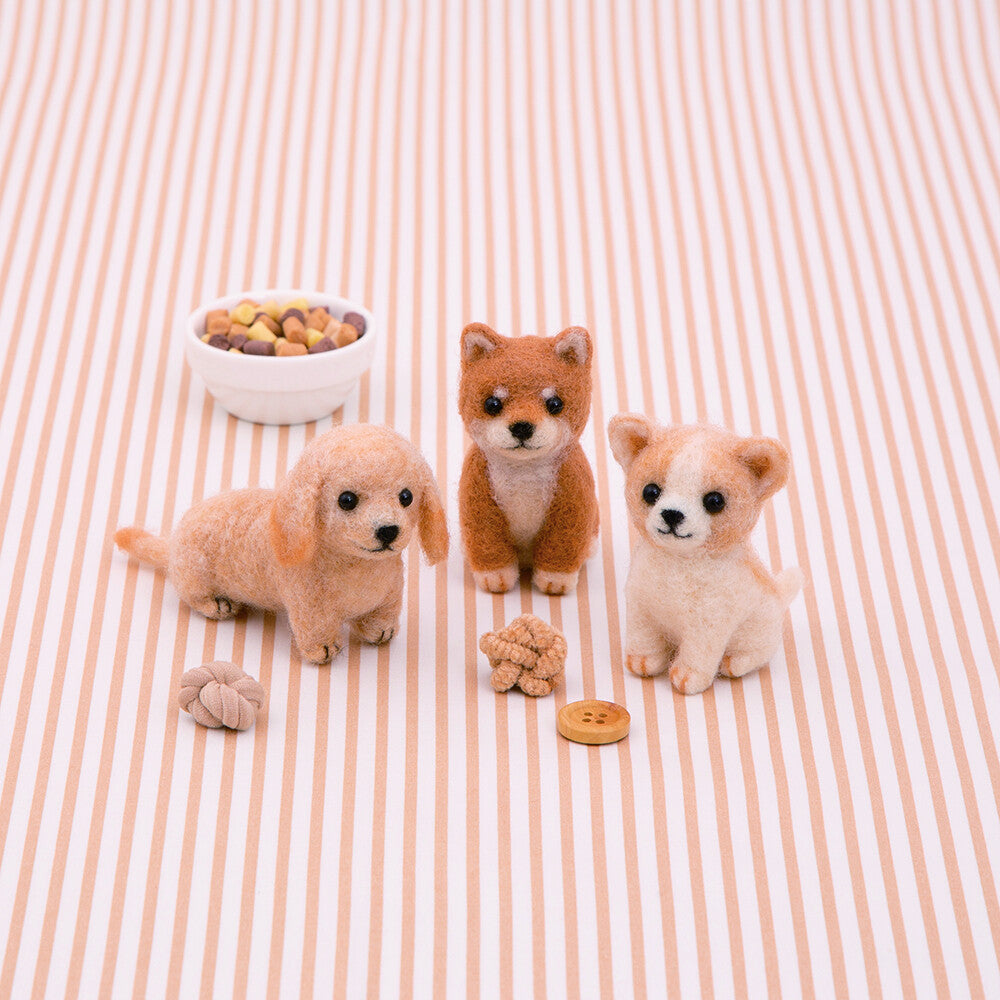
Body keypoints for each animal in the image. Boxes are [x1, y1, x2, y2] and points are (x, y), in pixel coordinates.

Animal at [113, 422, 450, 664]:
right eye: (346, 500)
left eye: (406, 497)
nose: (388, 530)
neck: (357, 567)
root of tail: (171, 546)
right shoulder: (309, 606)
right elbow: (315, 628)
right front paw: (323, 649)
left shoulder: (389, 595)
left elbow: (381, 617)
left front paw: (379, 631)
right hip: (194, 576)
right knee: (193, 596)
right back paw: (217, 604)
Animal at [458, 324, 596, 596]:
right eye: (492, 404)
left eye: (555, 403)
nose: (522, 427)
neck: (523, 470)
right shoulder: (478, 496)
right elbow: (486, 539)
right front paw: (495, 576)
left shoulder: (572, 496)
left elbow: (564, 541)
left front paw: (556, 579)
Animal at [604, 414, 800, 696]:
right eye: (650, 492)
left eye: (715, 501)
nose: (672, 514)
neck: (679, 561)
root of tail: (780, 596)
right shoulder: (642, 608)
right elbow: (643, 638)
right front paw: (643, 661)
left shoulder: (707, 626)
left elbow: (698, 654)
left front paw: (688, 677)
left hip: (760, 631)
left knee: (757, 653)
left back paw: (735, 662)